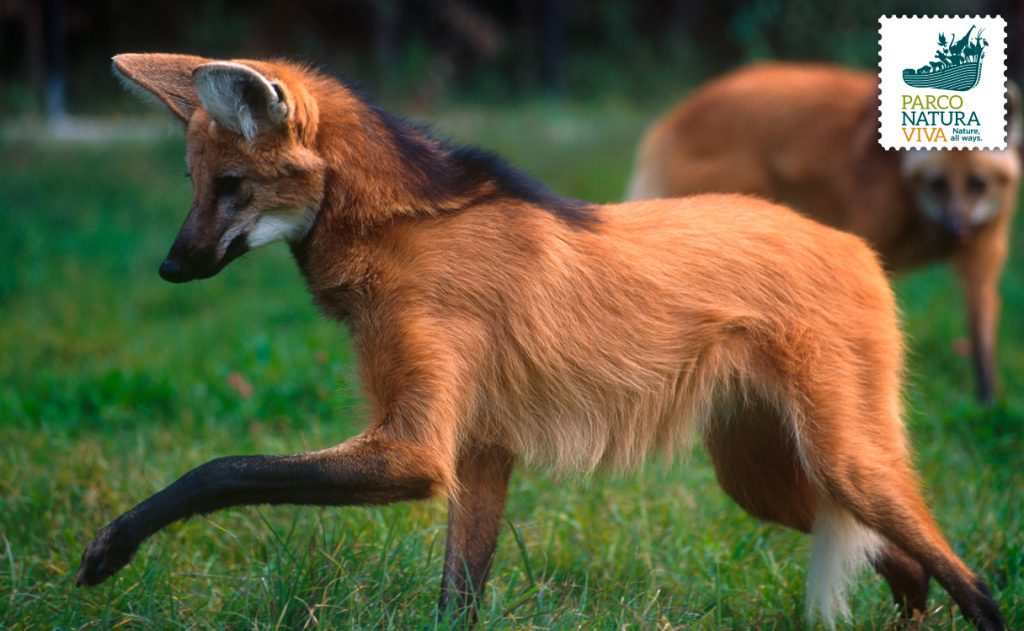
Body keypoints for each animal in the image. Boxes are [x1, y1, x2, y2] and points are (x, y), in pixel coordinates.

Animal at [626, 60, 1019, 403]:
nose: (959, 231)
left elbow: (981, 329)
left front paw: (989, 402)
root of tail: (680, 111)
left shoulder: (981, 256)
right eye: (938, 184)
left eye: (978, 184)